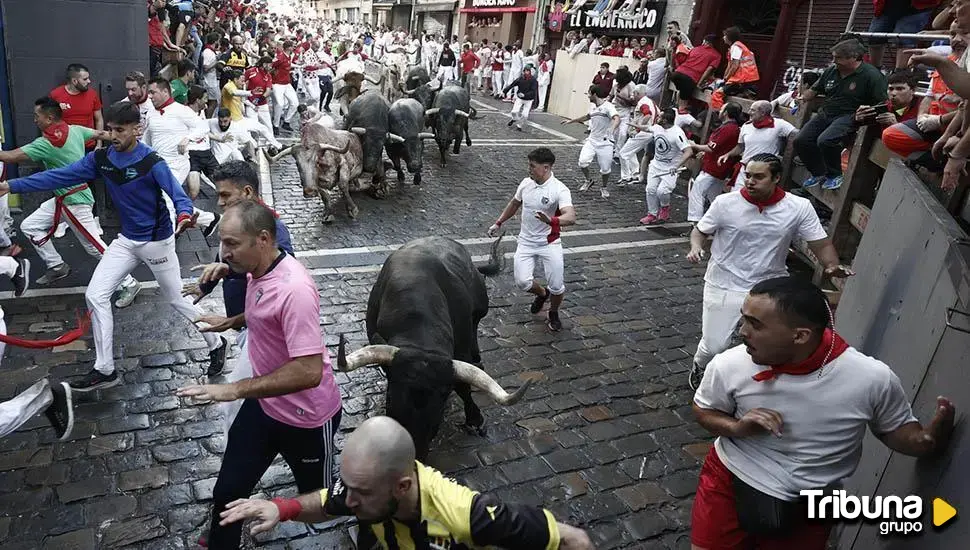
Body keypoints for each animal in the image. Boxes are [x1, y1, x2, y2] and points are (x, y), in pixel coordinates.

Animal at [336, 235, 532, 460]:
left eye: (442, 399)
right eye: (391, 394)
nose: (415, 453)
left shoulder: (460, 350)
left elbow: (463, 386)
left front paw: (475, 419)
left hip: (482, 306)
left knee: (476, 323)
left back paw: (477, 358)